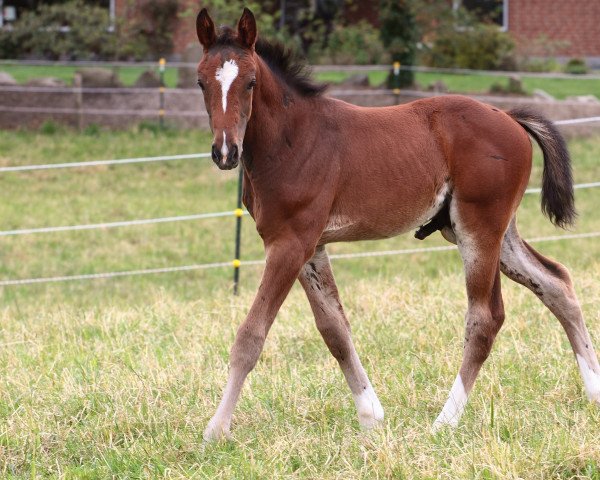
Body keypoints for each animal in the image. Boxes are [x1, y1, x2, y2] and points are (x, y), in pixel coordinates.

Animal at [198, 8, 600, 442]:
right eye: (201, 82)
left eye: (251, 82)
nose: (225, 152)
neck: (293, 137)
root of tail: (508, 116)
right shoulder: (310, 246)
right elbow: (334, 328)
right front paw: (370, 415)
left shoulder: (291, 242)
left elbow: (251, 336)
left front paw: (216, 430)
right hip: (490, 232)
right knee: (556, 282)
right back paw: (594, 392)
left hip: (479, 227)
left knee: (485, 318)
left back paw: (444, 421)